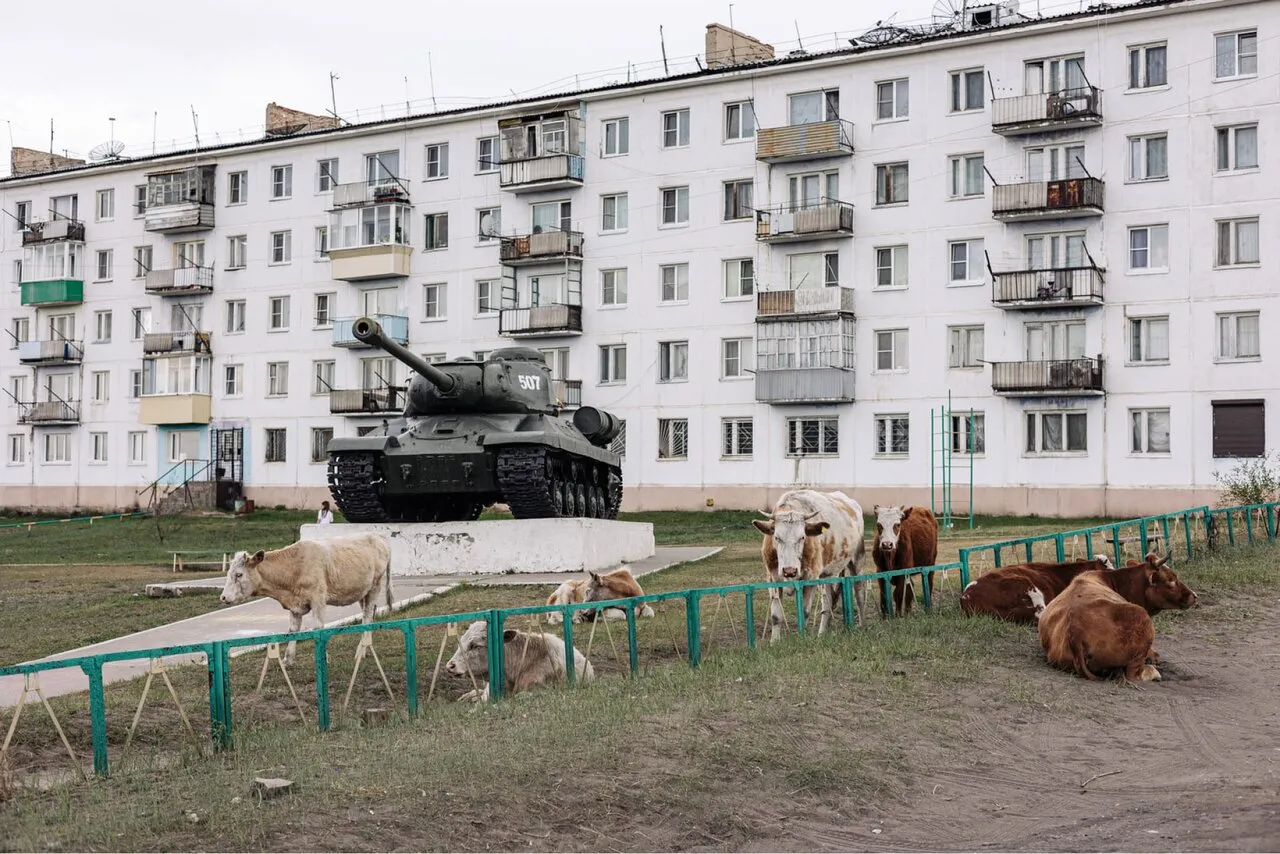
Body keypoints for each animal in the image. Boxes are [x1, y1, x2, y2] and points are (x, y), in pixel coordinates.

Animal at [220, 535, 391, 665]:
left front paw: (323, 657)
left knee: (367, 616)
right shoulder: (295, 606)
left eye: (239, 574)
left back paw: (360, 651)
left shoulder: (318, 599)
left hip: (375, 586)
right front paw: (287, 659)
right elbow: (293, 630)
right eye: (229, 573)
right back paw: (366, 648)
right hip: (362, 592)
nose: (223, 597)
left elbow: (318, 627)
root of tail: (377, 538)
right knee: (368, 615)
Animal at [747, 486, 870, 640]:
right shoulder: (772, 578)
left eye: (802, 537)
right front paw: (774, 641)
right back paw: (822, 633)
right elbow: (776, 616)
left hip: (857, 559)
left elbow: (804, 613)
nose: (789, 570)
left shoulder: (810, 578)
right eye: (776, 537)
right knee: (827, 603)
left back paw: (862, 624)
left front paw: (802, 639)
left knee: (859, 592)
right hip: (827, 574)